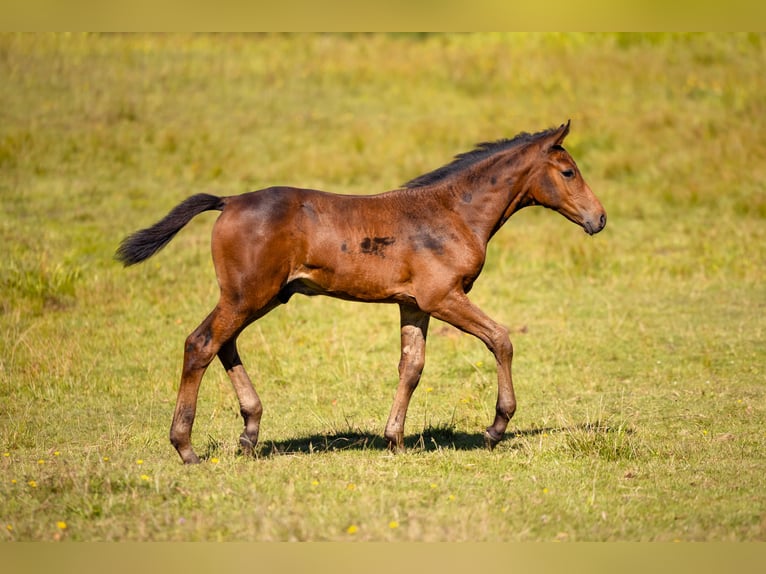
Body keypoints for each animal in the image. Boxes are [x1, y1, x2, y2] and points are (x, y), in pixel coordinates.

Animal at [115, 120, 608, 464]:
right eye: (568, 171)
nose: (599, 218)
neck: (454, 214)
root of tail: (229, 201)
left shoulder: (414, 305)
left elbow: (412, 367)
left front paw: (395, 440)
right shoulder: (443, 297)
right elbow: (501, 339)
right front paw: (496, 428)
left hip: (261, 296)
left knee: (223, 343)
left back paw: (250, 434)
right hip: (247, 295)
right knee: (201, 343)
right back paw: (186, 447)